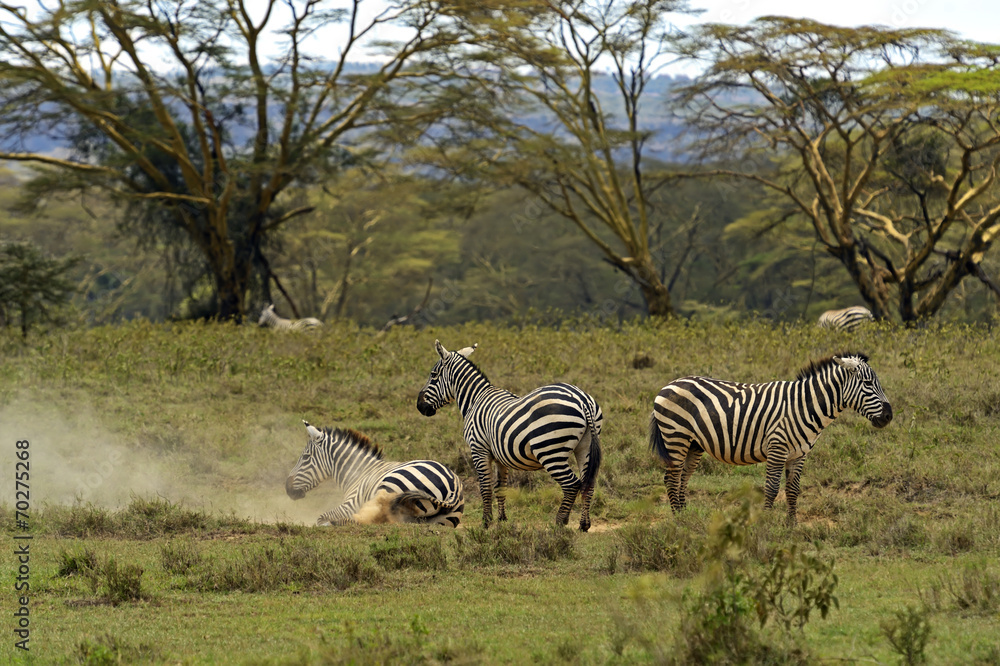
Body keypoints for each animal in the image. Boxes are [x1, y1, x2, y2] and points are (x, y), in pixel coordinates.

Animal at [285, 421, 464, 527]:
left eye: (306, 457)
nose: (287, 487)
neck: (358, 472)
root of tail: (453, 487)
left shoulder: (351, 504)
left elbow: (321, 518)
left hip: (387, 487)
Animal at [416, 340, 603, 531]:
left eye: (433, 375)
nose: (419, 406)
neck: (475, 400)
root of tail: (581, 399)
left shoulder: (478, 449)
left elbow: (485, 487)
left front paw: (486, 522)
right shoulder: (500, 457)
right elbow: (500, 488)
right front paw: (502, 520)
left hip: (550, 450)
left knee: (572, 484)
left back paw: (559, 522)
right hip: (585, 447)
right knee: (589, 484)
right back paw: (584, 525)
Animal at [649, 352, 892, 524]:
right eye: (868, 384)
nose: (889, 416)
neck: (804, 405)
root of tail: (669, 384)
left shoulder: (799, 453)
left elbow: (793, 490)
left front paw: (792, 525)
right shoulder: (777, 448)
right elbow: (773, 488)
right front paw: (765, 523)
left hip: (693, 444)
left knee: (683, 478)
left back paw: (685, 516)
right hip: (676, 436)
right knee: (671, 479)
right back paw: (678, 521)